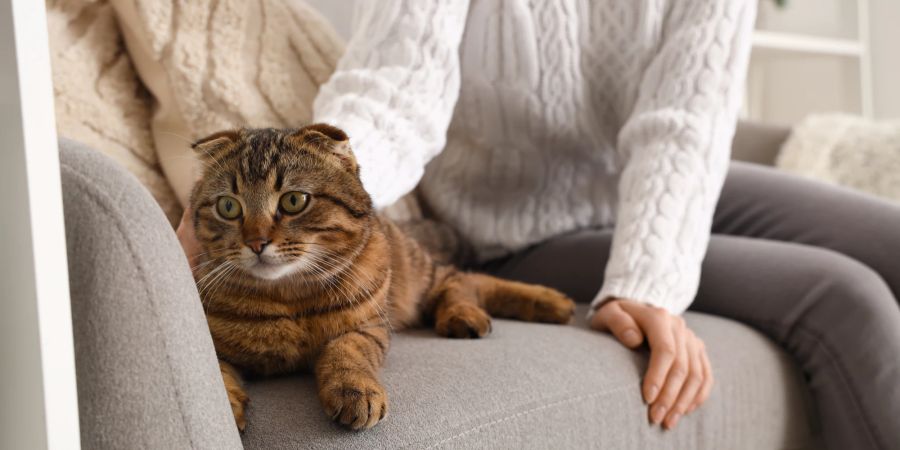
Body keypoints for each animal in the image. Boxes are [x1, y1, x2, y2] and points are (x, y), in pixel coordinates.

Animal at [188, 124, 576, 432]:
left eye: (294, 200)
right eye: (228, 207)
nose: (256, 243)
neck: (289, 297)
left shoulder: (369, 327)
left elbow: (345, 351)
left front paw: (355, 389)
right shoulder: (212, 341)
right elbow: (213, 376)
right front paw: (225, 411)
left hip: (419, 276)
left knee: (463, 280)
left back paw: (526, 304)